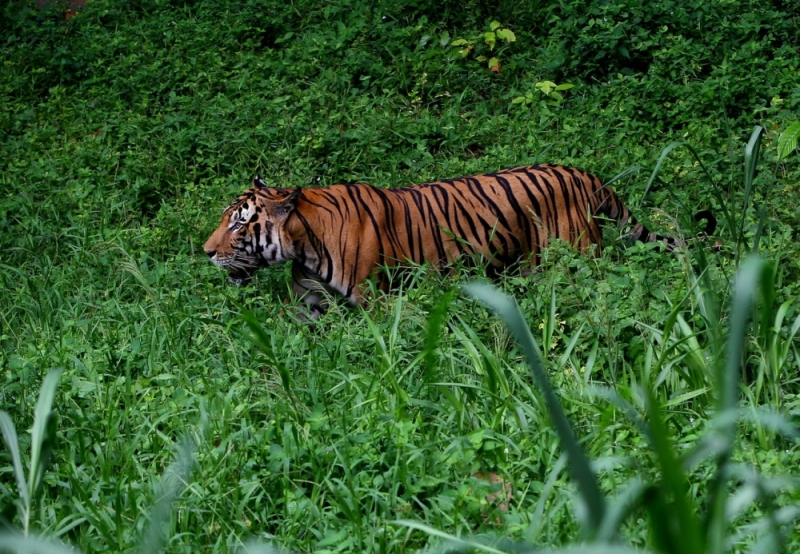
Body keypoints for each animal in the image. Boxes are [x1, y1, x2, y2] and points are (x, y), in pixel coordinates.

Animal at [203, 163, 716, 314]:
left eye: (239, 224)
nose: (206, 252)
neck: (304, 246)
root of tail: (584, 174)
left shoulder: (376, 301)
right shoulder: (307, 305)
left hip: (577, 259)